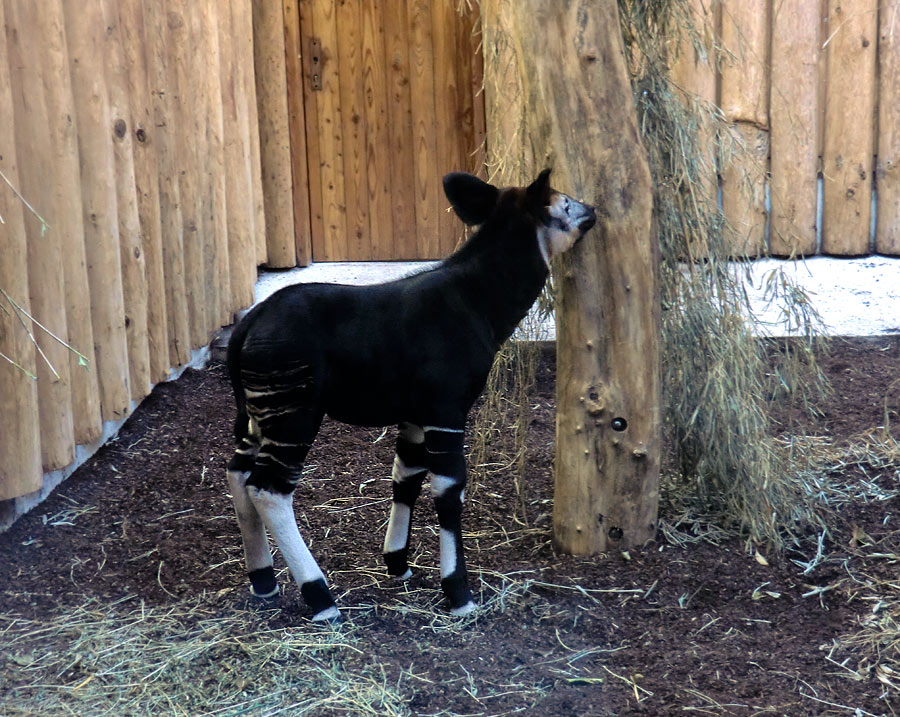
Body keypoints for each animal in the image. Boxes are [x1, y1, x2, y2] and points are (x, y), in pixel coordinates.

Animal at [224, 169, 596, 620]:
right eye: (564, 203)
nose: (594, 210)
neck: (479, 301)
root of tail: (249, 322)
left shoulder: (416, 414)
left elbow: (407, 478)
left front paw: (397, 563)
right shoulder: (447, 409)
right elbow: (449, 492)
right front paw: (458, 593)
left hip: (259, 414)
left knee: (238, 473)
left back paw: (263, 581)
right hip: (294, 413)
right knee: (269, 488)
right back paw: (320, 598)